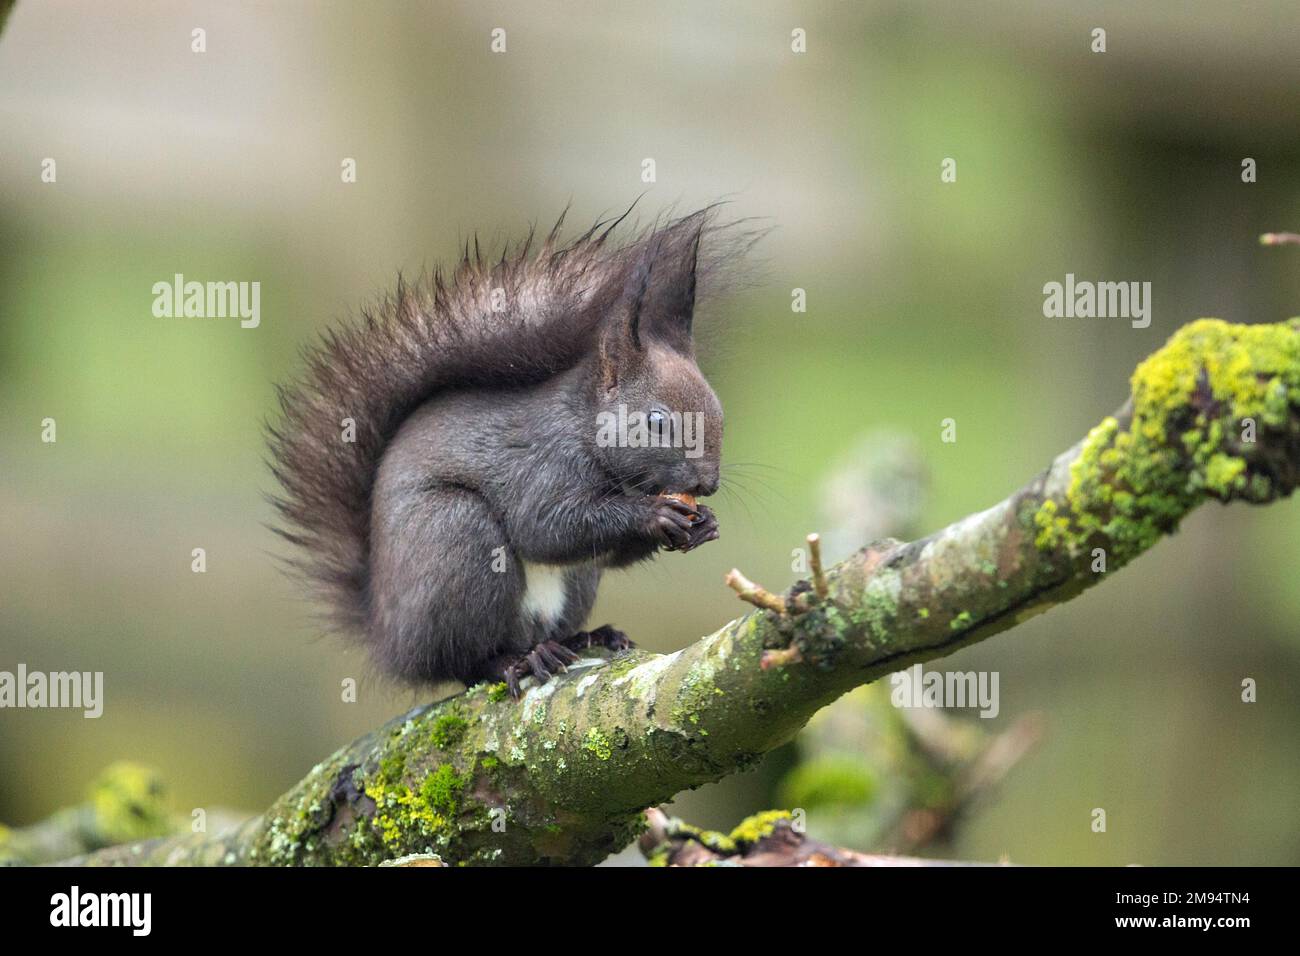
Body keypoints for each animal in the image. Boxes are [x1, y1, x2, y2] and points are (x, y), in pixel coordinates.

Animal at [268, 206, 738, 697]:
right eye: (657, 422)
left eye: (720, 412)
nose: (707, 484)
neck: (585, 431)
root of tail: (387, 637)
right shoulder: (541, 463)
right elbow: (544, 526)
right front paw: (655, 515)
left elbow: (605, 551)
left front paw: (704, 524)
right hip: (457, 534)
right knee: (463, 662)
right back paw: (518, 660)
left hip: (575, 584)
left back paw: (586, 637)